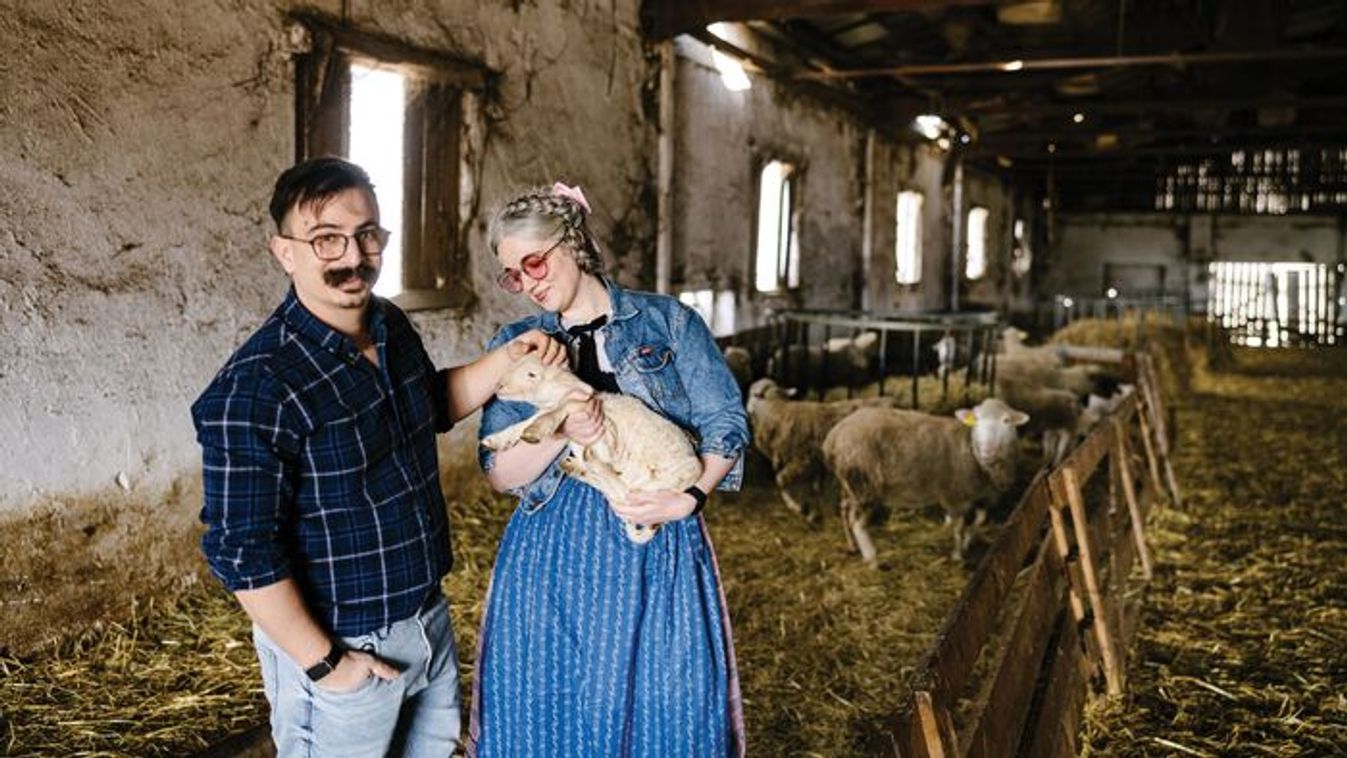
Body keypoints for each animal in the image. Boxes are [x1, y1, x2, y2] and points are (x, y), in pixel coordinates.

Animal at [479, 354, 702, 544]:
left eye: (532, 374)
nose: (499, 385)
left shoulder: (607, 433)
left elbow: (564, 405)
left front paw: (537, 430)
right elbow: (527, 422)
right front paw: (497, 440)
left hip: (664, 480)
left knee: (624, 491)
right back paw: (575, 466)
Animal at [745, 378, 898, 528]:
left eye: (752, 394)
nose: (746, 409)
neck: (777, 410)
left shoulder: (802, 460)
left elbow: (781, 480)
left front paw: (798, 508)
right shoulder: (816, 465)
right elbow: (815, 490)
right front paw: (814, 515)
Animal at [821, 398, 1030, 563]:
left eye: (1006, 420)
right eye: (975, 420)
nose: (987, 450)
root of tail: (834, 436)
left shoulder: (984, 496)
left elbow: (979, 520)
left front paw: (968, 541)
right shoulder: (955, 495)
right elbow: (959, 527)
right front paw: (957, 554)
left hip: (849, 483)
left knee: (844, 510)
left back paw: (852, 545)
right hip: (865, 482)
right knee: (857, 523)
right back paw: (872, 559)